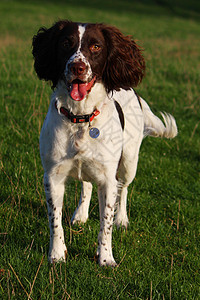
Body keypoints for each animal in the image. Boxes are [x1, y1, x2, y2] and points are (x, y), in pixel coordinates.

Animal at [32, 19, 177, 266]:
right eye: (66, 43)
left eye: (96, 46)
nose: (77, 67)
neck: (81, 117)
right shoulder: (52, 176)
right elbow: (55, 220)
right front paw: (57, 255)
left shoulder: (108, 178)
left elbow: (105, 222)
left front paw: (106, 258)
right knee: (87, 185)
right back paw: (80, 214)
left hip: (129, 160)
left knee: (124, 188)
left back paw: (122, 219)